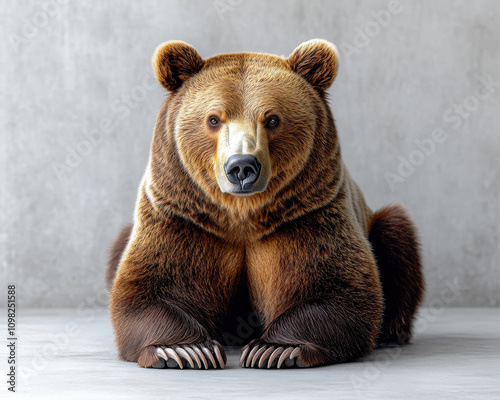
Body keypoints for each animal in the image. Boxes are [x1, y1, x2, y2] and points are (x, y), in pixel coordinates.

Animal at [108, 39, 422, 368]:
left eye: (272, 119)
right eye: (213, 119)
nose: (242, 166)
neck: (241, 216)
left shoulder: (307, 215)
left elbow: (342, 290)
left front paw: (275, 349)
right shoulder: (183, 217)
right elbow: (146, 291)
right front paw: (184, 349)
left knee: (396, 235)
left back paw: (392, 333)